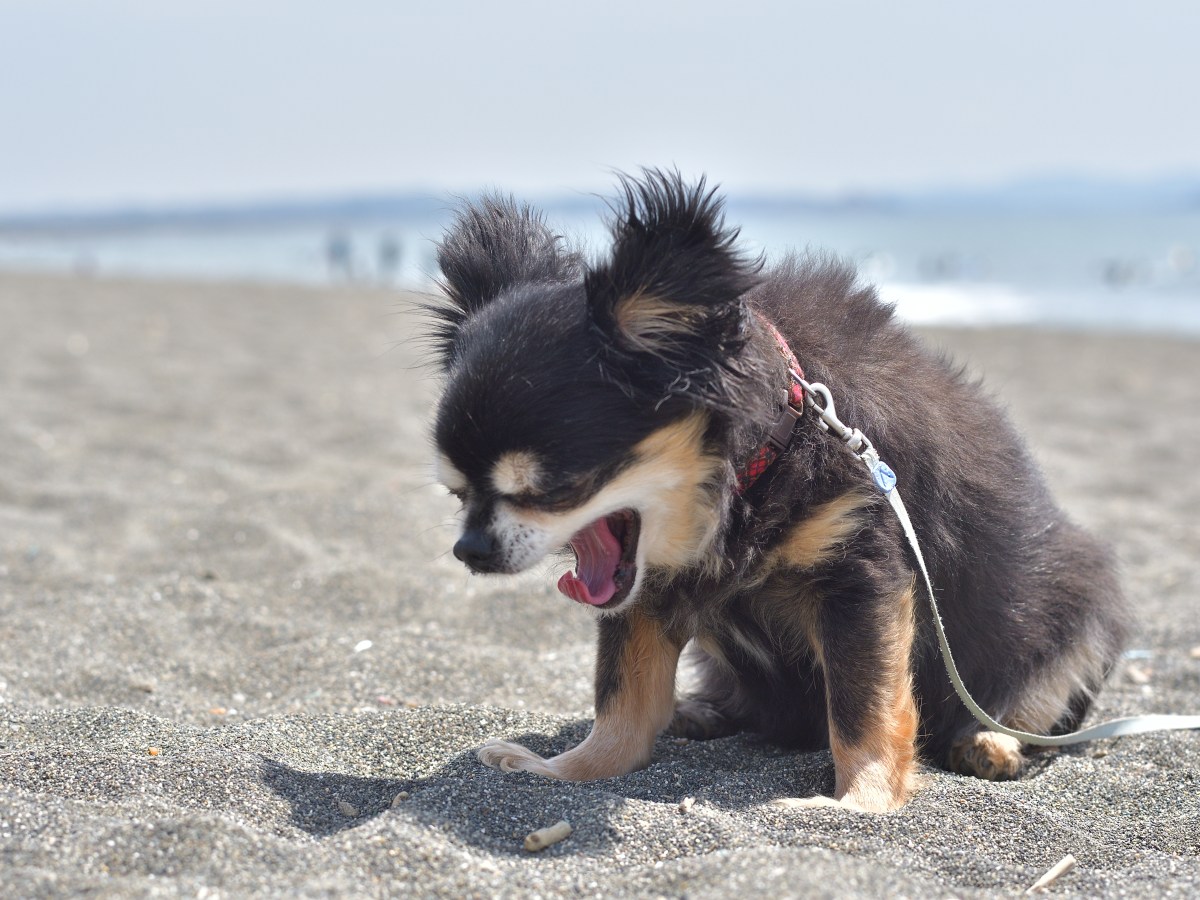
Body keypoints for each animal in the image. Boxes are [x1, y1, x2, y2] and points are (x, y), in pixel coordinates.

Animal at [424, 172, 1132, 816]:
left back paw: (991, 742)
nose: (468, 549)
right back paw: (701, 712)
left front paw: (859, 804)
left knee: (1031, 701)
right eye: (456, 491)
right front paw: (564, 772)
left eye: (551, 487)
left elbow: (863, 706)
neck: (763, 458)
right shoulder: (645, 586)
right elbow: (622, 701)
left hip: (1080, 610)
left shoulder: (860, 576)